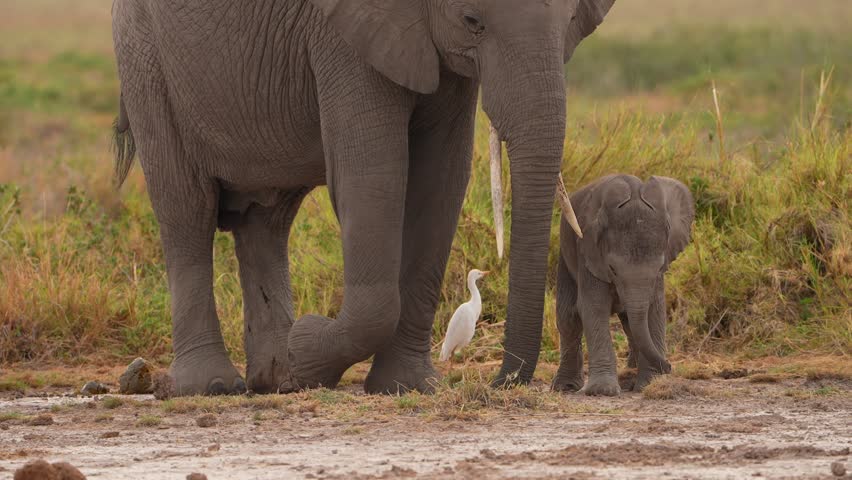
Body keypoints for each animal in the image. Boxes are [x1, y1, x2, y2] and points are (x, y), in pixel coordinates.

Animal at [110, 0, 615, 396]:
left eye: (573, 21)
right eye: (472, 21)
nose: (502, 382)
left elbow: (441, 180)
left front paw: (406, 386)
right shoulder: (344, 38)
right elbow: (372, 176)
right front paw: (307, 347)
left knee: (267, 220)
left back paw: (277, 380)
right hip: (144, 58)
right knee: (186, 209)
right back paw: (213, 386)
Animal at [551, 174, 695, 395]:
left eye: (660, 266)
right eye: (613, 269)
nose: (669, 366)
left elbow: (654, 310)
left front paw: (649, 384)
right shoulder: (589, 253)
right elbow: (593, 307)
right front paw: (602, 391)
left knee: (630, 323)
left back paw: (631, 379)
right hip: (565, 257)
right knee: (568, 318)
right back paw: (565, 387)